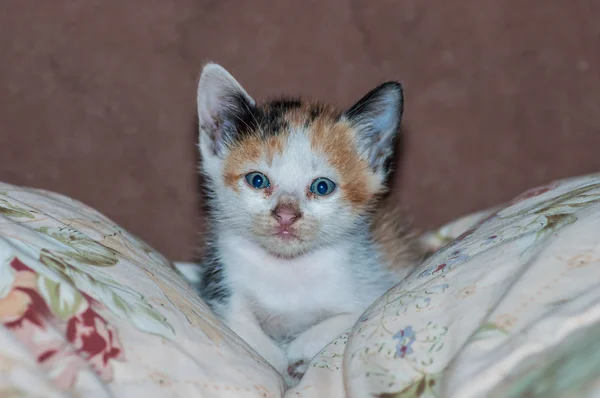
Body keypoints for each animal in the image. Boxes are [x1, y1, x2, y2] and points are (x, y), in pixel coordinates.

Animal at [195, 63, 420, 386]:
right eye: (257, 180)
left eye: (322, 187)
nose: (286, 214)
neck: (287, 268)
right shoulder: (221, 288)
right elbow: (247, 333)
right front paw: (278, 363)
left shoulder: (376, 286)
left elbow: (349, 318)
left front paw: (297, 354)